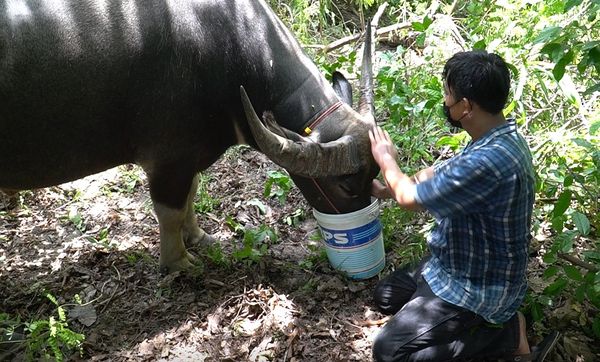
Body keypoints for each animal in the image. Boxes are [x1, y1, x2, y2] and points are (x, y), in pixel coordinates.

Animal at [1, 0, 380, 272]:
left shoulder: (189, 155)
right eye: (347, 185)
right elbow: (168, 210)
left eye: (375, 175)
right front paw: (178, 262)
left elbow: (190, 195)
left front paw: (197, 236)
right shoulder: (167, 159)